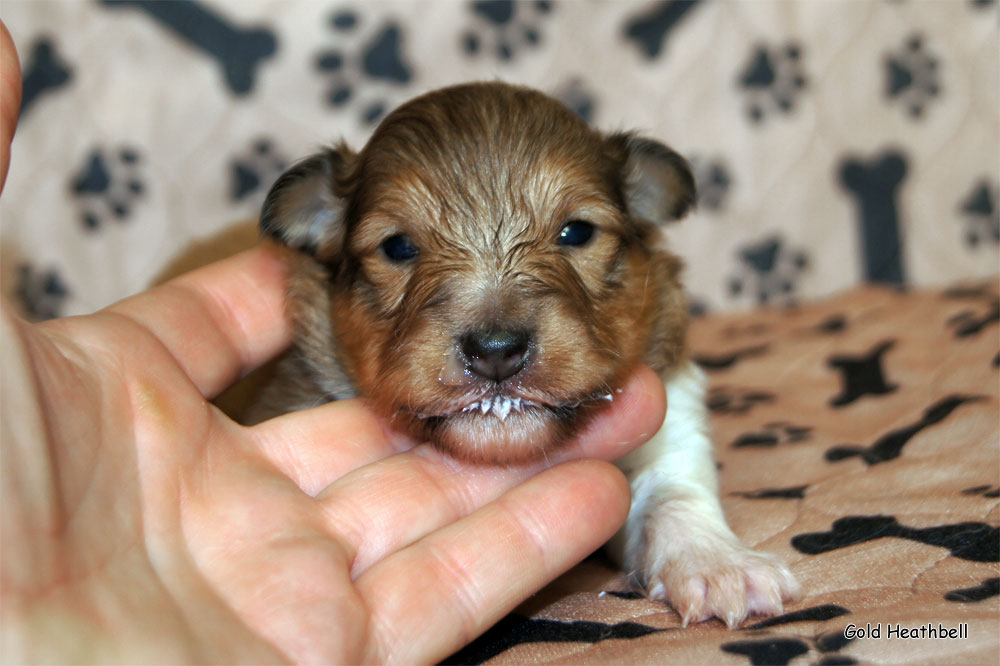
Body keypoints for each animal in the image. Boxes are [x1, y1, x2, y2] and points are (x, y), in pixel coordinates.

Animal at [254, 80, 800, 624]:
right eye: (397, 247)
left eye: (577, 232)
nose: (495, 350)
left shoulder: (671, 417)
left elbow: (674, 492)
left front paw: (721, 566)